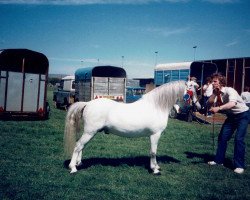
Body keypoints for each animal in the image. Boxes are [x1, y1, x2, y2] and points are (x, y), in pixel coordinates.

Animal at [64, 80, 199, 174]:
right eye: (192, 89)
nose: (198, 106)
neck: (156, 106)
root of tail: (87, 104)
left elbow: (152, 151)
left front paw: (156, 166)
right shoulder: (155, 134)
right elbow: (153, 152)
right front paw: (155, 169)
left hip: (90, 133)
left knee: (81, 146)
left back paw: (79, 163)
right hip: (90, 132)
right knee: (78, 146)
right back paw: (73, 168)